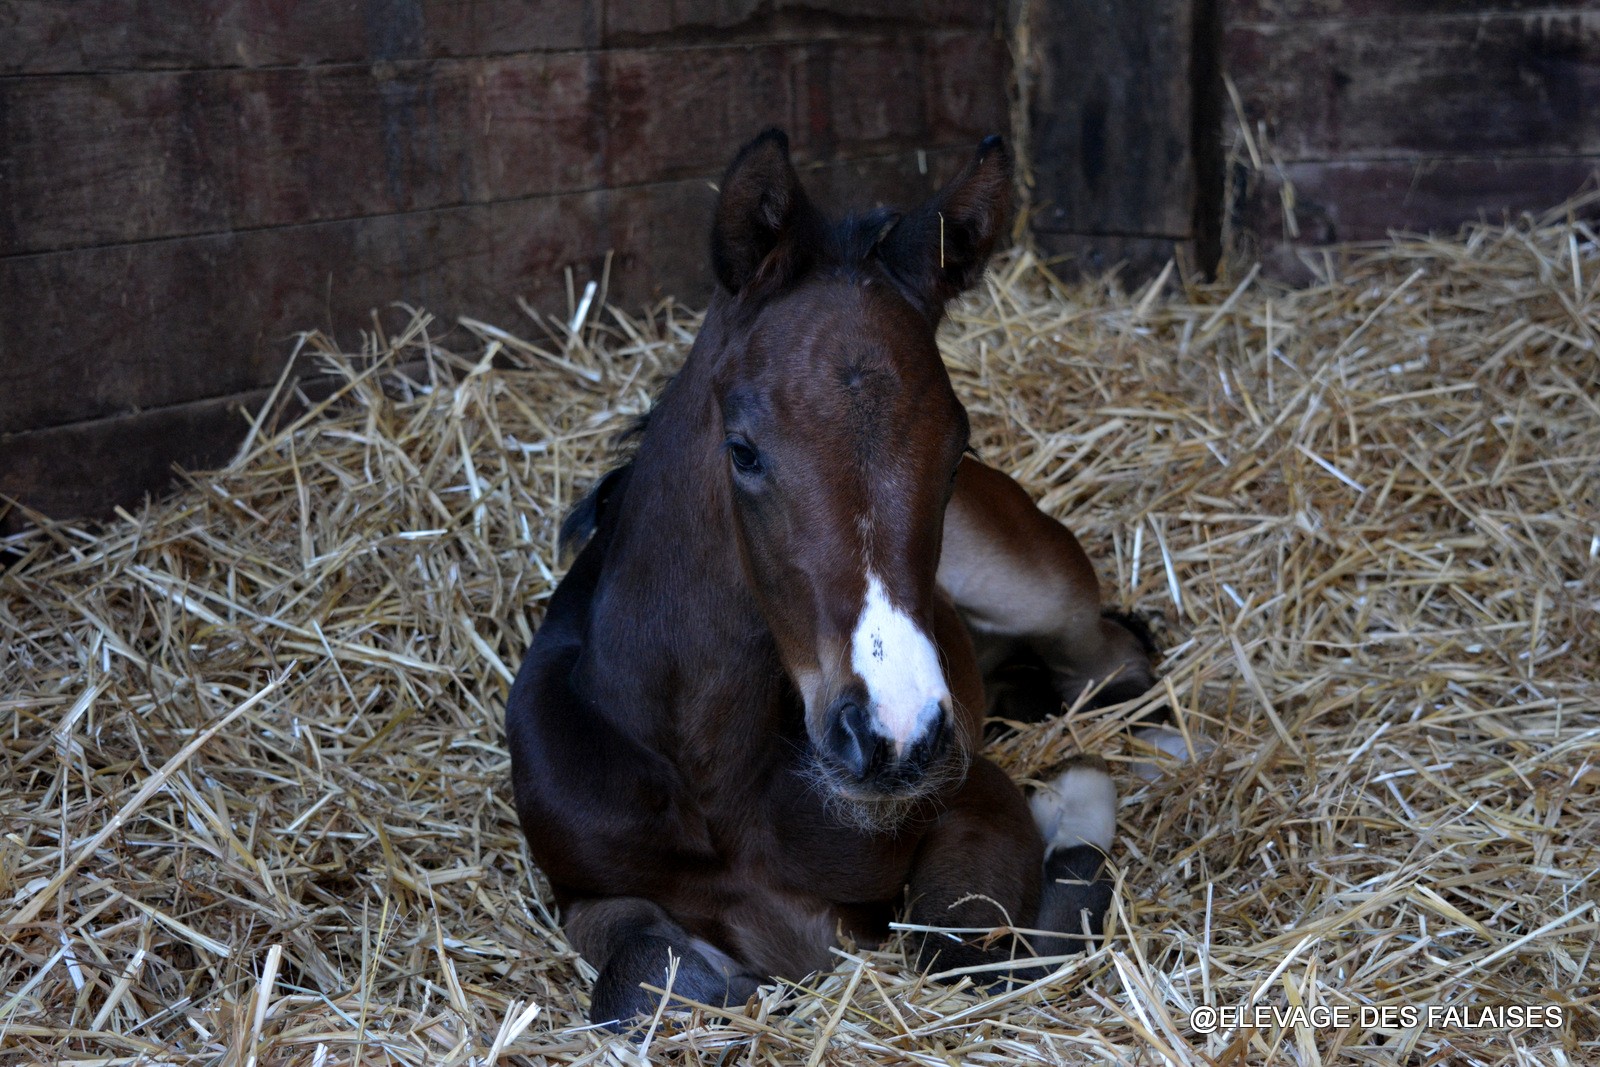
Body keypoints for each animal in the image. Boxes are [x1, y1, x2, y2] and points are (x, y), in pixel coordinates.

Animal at [505, 131, 1158, 1023]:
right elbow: (636, 981)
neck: (712, 777)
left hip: (1041, 589)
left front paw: (1073, 809)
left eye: (956, 452)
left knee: (1118, 664)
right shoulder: (583, 891)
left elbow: (963, 956)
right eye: (743, 450)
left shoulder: (975, 801)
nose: (896, 733)